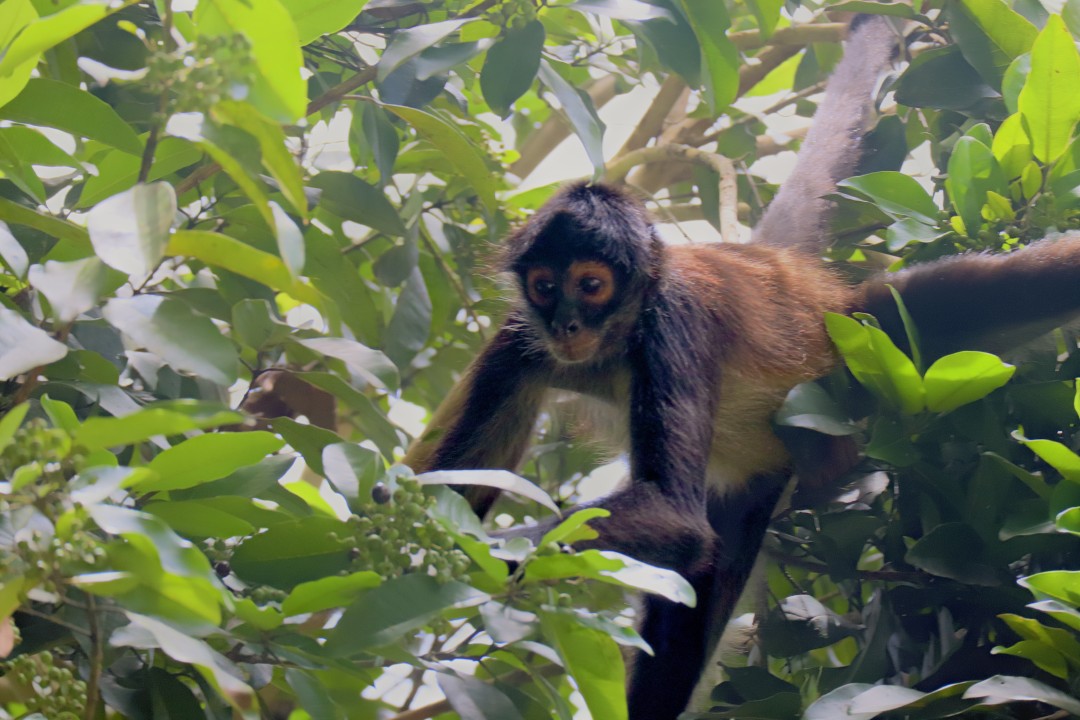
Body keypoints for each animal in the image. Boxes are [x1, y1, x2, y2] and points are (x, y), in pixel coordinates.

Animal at [402, 14, 1080, 720]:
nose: (566, 324)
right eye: (543, 286)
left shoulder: (674, 322)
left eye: (590, 285)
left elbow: (673, 516)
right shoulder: (520, 338)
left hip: (873, 335)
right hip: (751, 481)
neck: (613, 344)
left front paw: (447, 555)